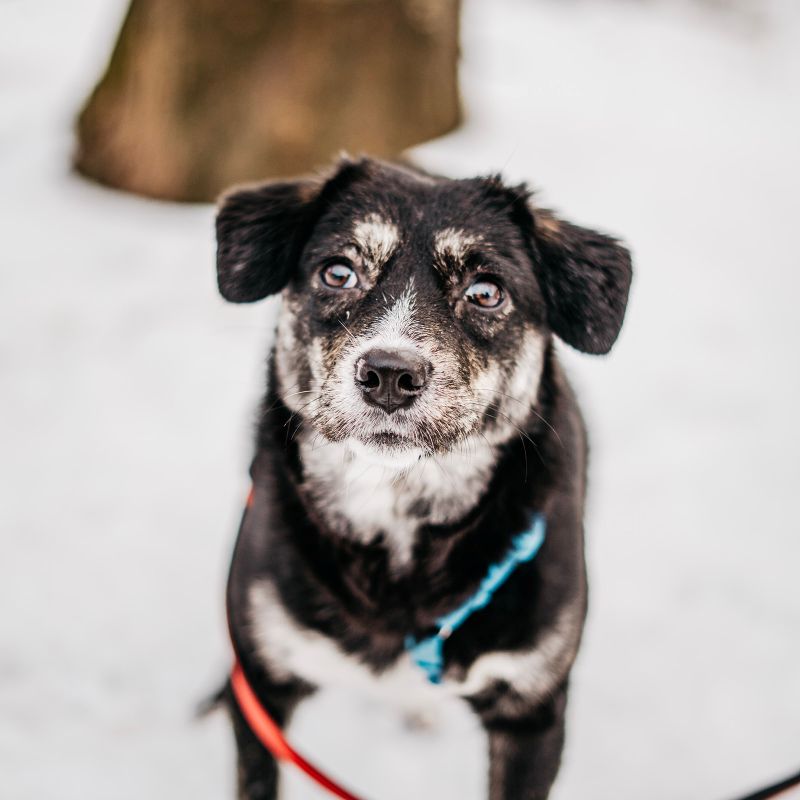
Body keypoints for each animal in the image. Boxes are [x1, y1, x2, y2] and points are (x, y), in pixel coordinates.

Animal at [215, 156, 632, 799]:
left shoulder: (533, 709)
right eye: (337, 271)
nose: (389, 373)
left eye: (486, 291)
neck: (399, 521)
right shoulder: (261, 687)